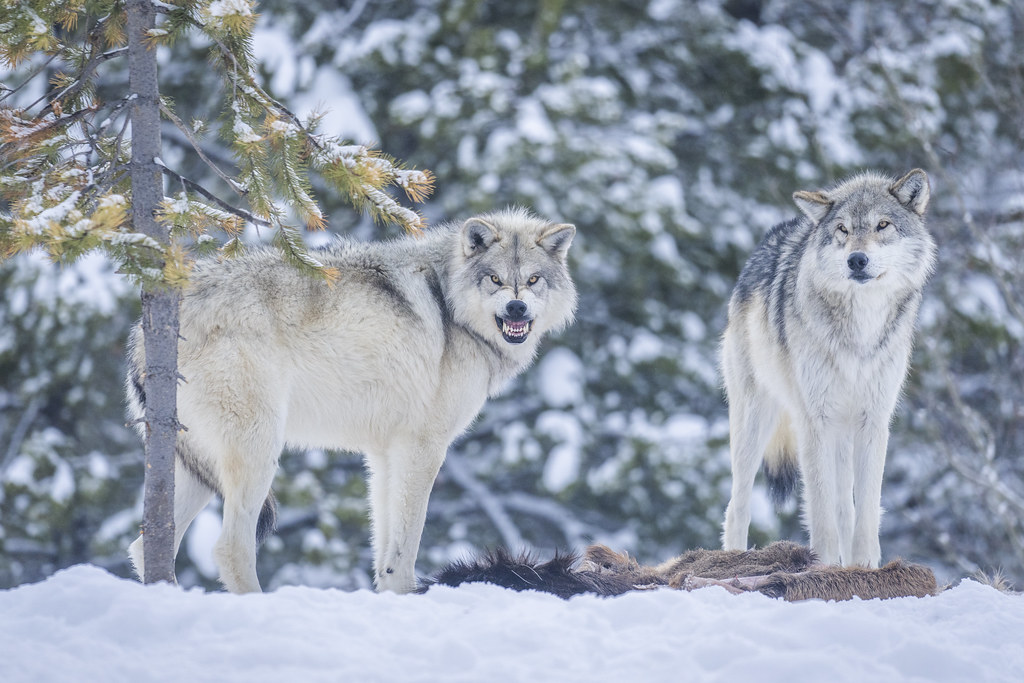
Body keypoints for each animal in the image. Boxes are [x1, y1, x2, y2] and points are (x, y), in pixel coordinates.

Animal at [126, 207, 577, 594]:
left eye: (533, 280)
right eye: (495, 280)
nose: (516, 307)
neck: (452, 308)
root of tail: (145, 333)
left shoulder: (384, 453)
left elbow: (385, 549)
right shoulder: (424, 447)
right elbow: (407, 544)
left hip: (194, 471)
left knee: (144, 545)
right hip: (258, 452)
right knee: (229, 548)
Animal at [720, 169, 936, 568]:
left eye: (882, 225)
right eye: (842, 229)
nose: (857, 260)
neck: (861, 329)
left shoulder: (873, 421)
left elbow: (865, 508)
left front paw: (864, 567)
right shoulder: (814, 421)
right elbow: (819, 507)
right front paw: (822, 566)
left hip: (842, 432)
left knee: (844, 507)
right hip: (755, 422)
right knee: (737, 504)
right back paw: (731, 558)